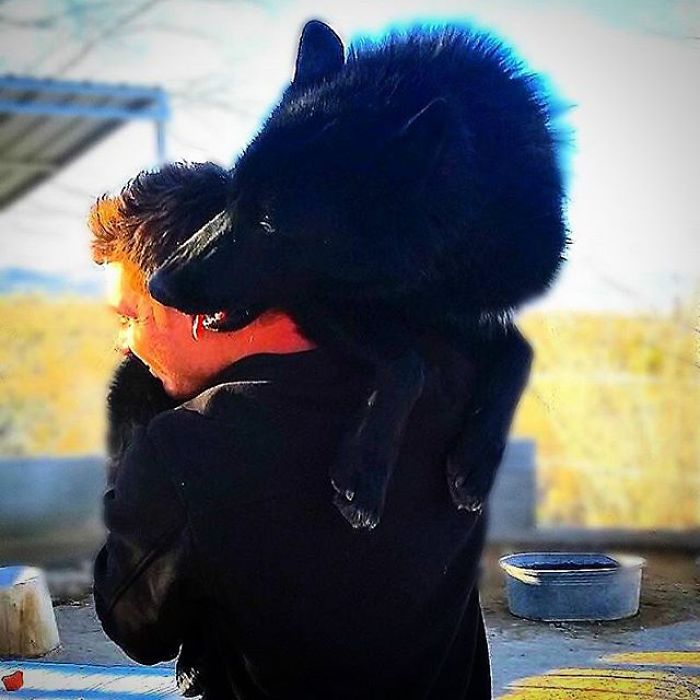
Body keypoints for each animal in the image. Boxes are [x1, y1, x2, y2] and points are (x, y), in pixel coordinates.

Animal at [148, 20, 569, 529]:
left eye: (268, 221)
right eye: (232, 197)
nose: (158, 285)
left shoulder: (469, 311)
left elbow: (519, 354)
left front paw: (475, 464)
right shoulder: (319, 299)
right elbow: (409, 363)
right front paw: (366, 474)